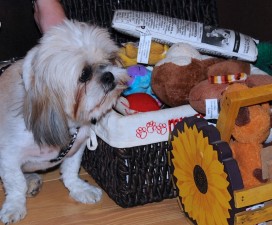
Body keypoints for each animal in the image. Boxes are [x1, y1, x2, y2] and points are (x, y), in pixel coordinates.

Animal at [0, 19, 129, 223]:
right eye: (84, 75)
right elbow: (16, 184)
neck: (69, 124)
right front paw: (14, 206)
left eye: (109, 59)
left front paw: (79, 189)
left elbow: (70, 171)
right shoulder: (8, 156)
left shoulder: (78, 145)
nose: (108, 75)